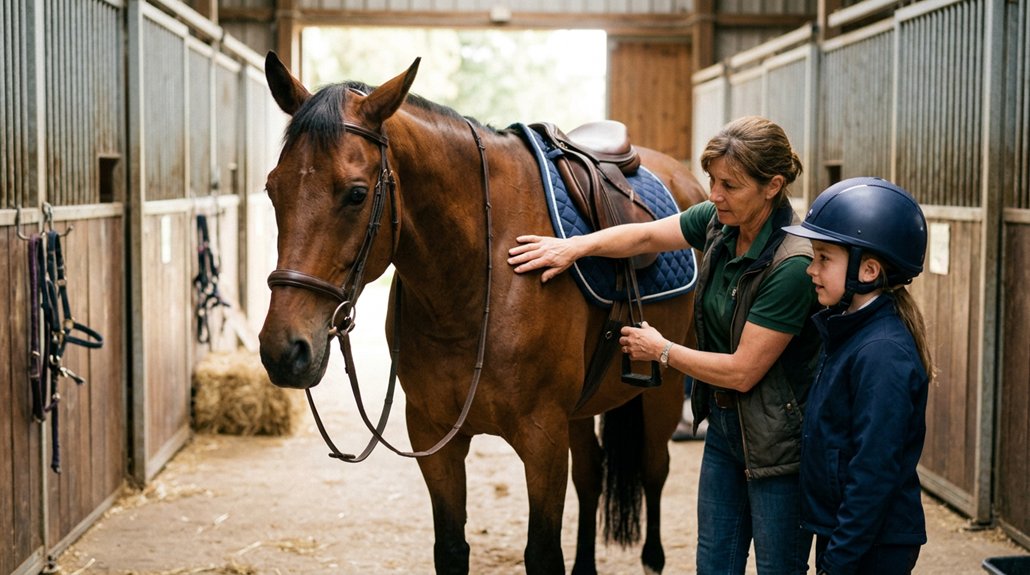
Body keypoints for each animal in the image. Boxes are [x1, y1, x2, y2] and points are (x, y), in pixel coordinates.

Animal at [258, 51, 708, 574]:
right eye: (272, 189)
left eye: (355, 193)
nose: (283, 349)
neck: (475, 279)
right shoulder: (434, 436)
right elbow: (452, 548)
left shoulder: (542, 441)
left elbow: (543, 552)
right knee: (592, 474)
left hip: (665, 389)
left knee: (654, 470)